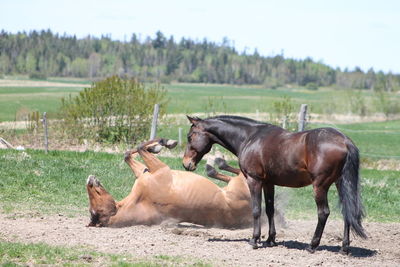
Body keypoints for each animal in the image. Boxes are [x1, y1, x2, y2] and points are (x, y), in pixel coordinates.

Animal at [86, 139, 252, 229]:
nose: (90, 181)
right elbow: (140, 147)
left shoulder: (144, 172)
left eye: (95, 195)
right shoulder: (160, 169)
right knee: (236, 173)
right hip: (239, 183)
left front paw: (156, 146)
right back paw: (216, 162)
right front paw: (162, 143)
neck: (139, 201)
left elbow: (128, 154)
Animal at [183, 114, 368, 253]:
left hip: (320, 186)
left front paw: (255, 240)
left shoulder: (254, 180)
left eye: (189, 137)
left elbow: (256, 210)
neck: (250, 137)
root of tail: (344, 141)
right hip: (340, 183)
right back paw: (344, 248)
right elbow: (270, 209)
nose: (186, 164)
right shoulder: (268, 183)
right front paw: (270, 240)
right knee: (347, 211)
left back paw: (312, 245)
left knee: (323, 213)